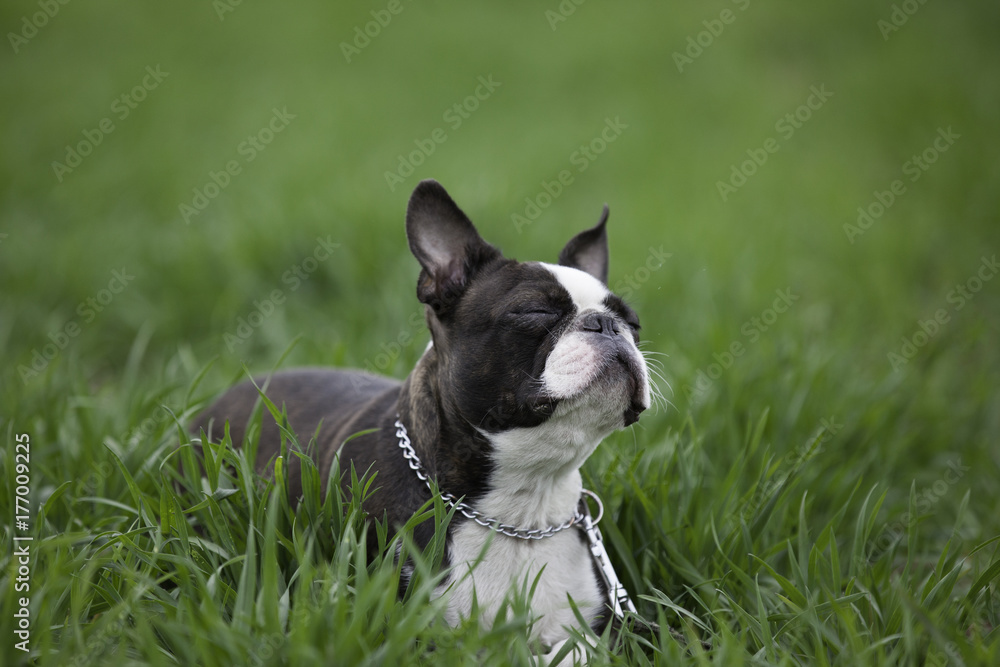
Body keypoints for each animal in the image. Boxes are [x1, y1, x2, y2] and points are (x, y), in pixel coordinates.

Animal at [192, 179, 652, 658]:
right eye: (535, 312)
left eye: (633, 323)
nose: (607, 325)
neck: (523, 507)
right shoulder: (412, 636)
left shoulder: (606, 630)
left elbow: (576, 651)